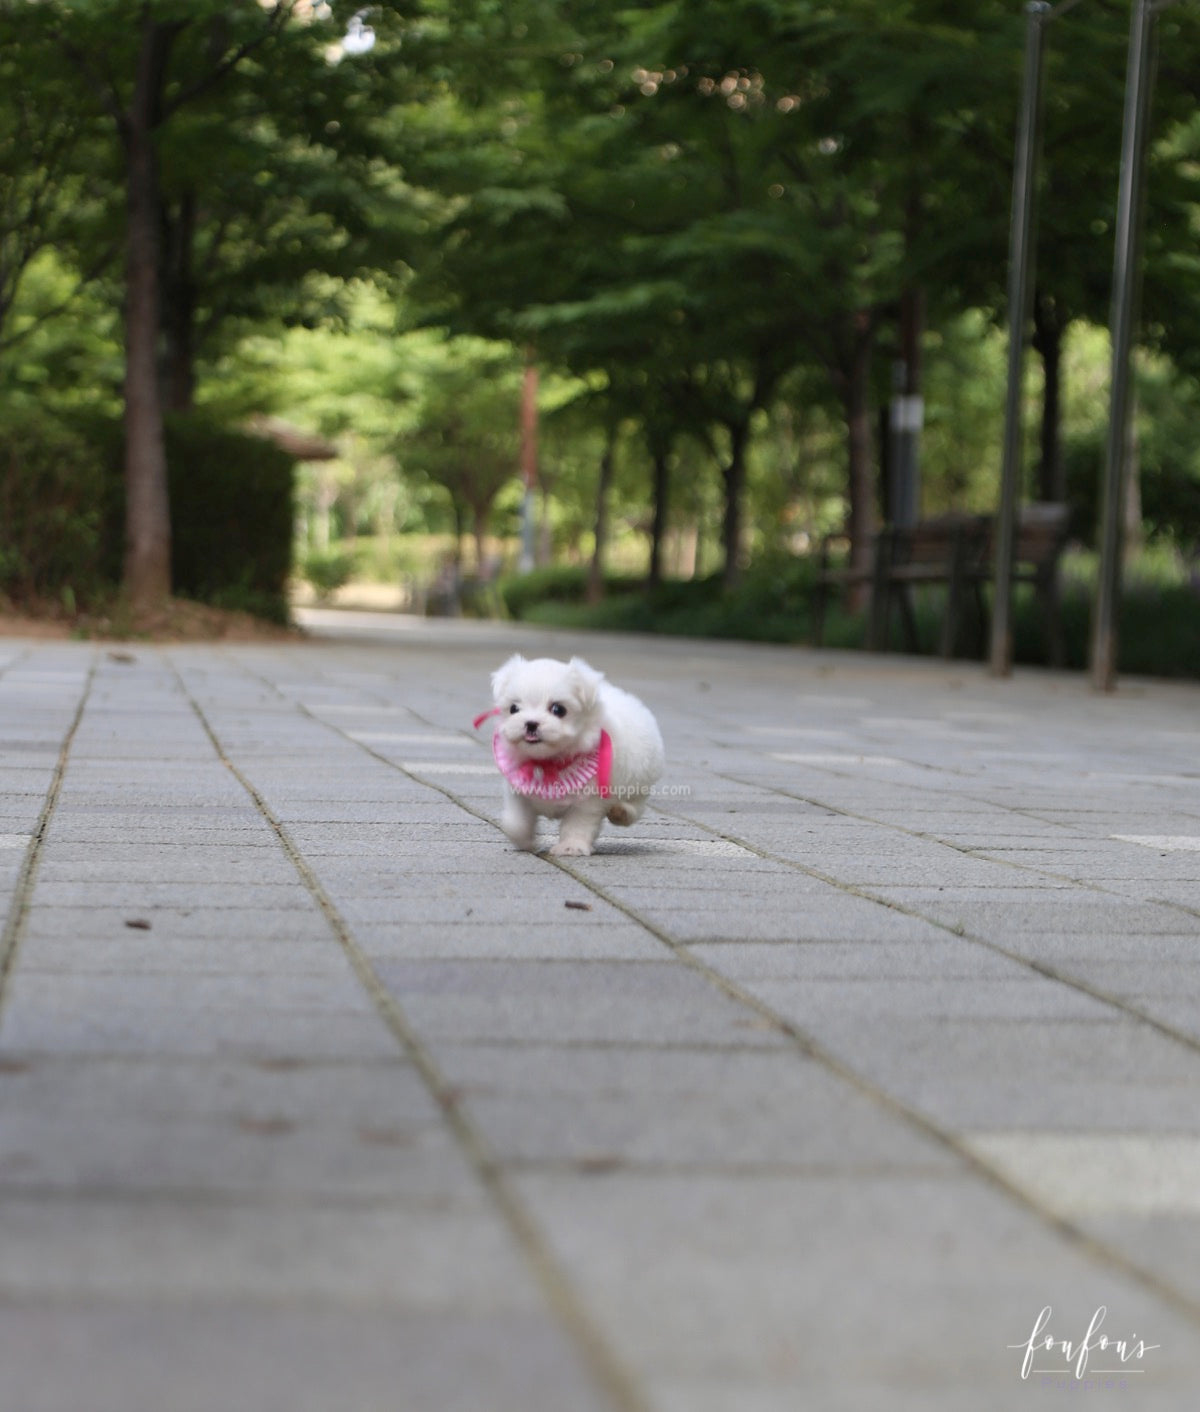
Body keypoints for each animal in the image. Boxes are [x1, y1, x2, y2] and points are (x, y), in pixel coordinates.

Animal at [474, 652, 663, 858]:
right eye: (513, 708)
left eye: (558, 709)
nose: (530, 723)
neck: (548, 762)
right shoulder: (518, 791)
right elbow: (516, 821)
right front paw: (525, 841)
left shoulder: (587, 800)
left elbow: (577, 823)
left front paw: (571, 847)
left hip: (638, 780)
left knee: (636, 805)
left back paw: (621, 812)